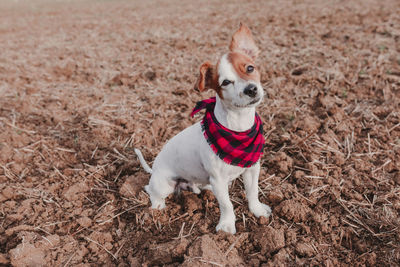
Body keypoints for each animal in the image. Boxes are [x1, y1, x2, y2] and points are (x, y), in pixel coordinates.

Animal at [135, 24, 272, 234]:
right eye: (225, 82)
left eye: (250, 68)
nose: (251, 89)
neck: (238, 126)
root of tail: (154, 169)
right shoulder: (218, 179)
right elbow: (226, 204)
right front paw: (226, 226)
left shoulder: (251, 169)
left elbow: (252, 192)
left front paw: (257, 210)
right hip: (164, 184)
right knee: (150, 190)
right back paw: (157, 207)